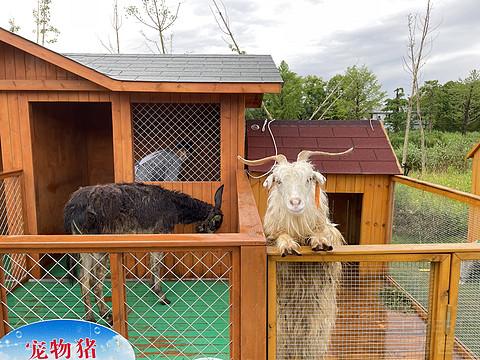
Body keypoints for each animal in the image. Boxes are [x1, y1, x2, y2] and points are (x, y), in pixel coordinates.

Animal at [238, 148, 350, 360]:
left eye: (309, 179)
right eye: (279, 181)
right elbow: (281, 237)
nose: (295, 202)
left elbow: (323, 236)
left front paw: (319, 242)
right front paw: (288, 245)